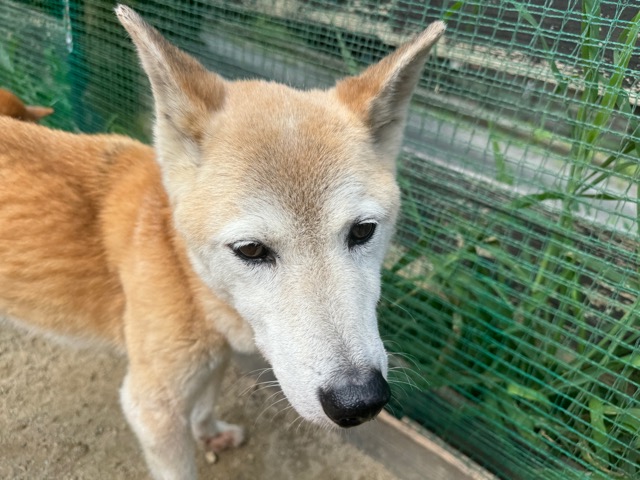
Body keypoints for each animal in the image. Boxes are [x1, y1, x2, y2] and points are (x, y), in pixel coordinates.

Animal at [0, 5, 445, 479]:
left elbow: (207, 401)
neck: (183, 271)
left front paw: (209, 430)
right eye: (250, 250)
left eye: (363, 231)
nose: (359, 401)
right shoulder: (151, 408)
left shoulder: (212, 362)